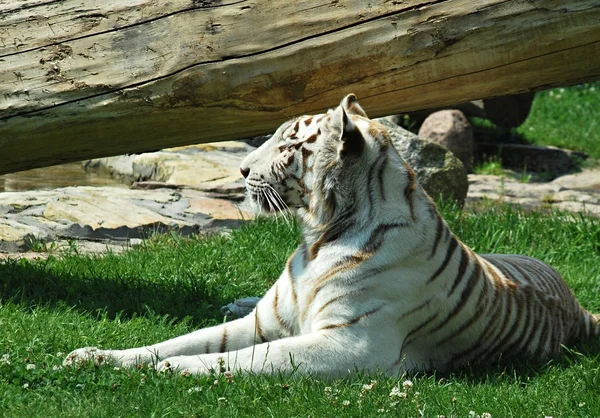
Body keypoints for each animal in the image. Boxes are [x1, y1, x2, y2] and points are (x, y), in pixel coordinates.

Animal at [63, 96, 596, 378]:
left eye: (287, 144)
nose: (241, 169)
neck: (317, 236)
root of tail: (575, 305)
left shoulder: (352, 343)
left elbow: (242, 358)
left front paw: (171, 371)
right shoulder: (267, 322)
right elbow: (177, 341)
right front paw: (93, 356)